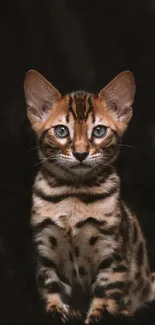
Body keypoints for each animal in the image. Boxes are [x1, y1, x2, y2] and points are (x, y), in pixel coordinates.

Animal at [23, 69, 155, 322]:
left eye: (99, 131)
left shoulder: (112, 257)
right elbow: (51, 289)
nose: (81, 153)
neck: (73, 194)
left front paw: (97, 315)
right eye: (61, 131)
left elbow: (104, 301)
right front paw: (57, 312)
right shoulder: (45, 252)